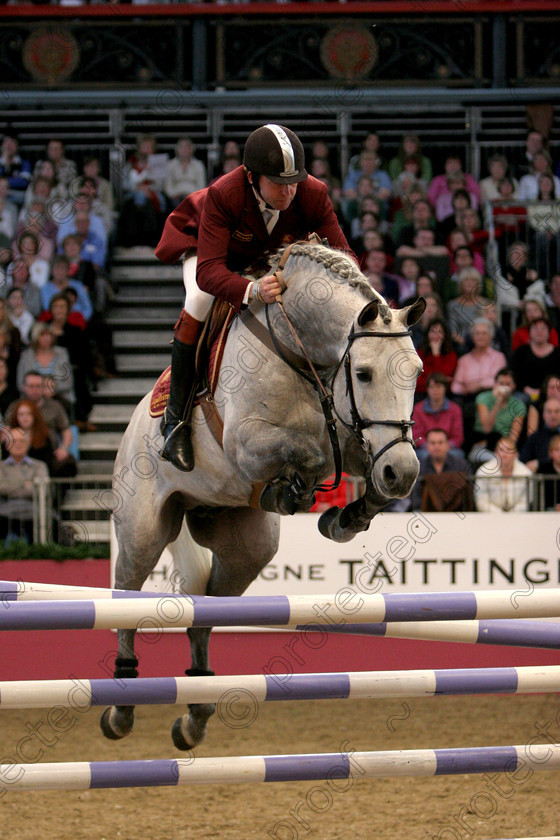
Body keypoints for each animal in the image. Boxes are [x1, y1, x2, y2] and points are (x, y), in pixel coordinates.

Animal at [100, 241, 424, 748]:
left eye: (417, 373)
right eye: (365, 373)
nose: (402, 473)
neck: (301, 353)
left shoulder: (358, 438)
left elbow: (354, 466)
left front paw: (344, 518)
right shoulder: (247, 442)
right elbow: (307, 452)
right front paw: (297, 492)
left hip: (245, 549)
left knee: (206, 610)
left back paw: (195, 712)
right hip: (142, 532)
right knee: (126, 595)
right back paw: (122, 702)